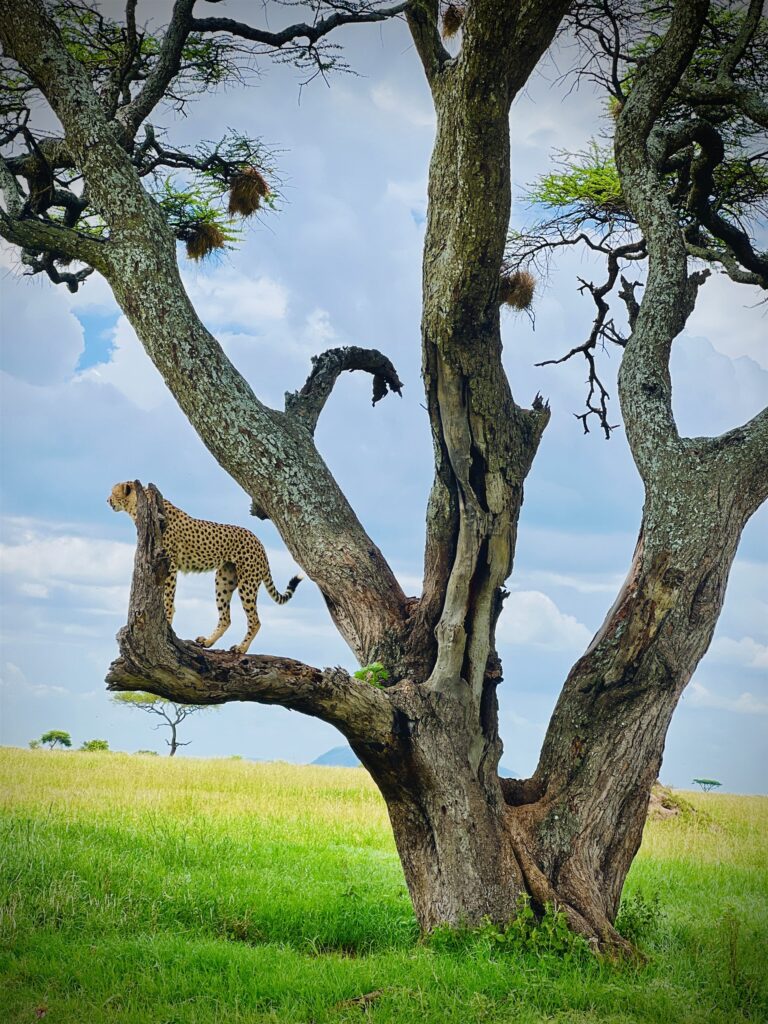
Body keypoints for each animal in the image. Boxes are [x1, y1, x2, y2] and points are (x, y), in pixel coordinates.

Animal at [108, 481, 302, 654]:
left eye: (113, 492)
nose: (108, 500)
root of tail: (258, 541)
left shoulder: (169, 565)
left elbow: (168, 598)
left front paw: (167, 622)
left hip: (247, 582)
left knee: (255, 620)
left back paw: (241, 648)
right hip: (224, 580)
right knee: (226, 618)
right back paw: (208, 642)